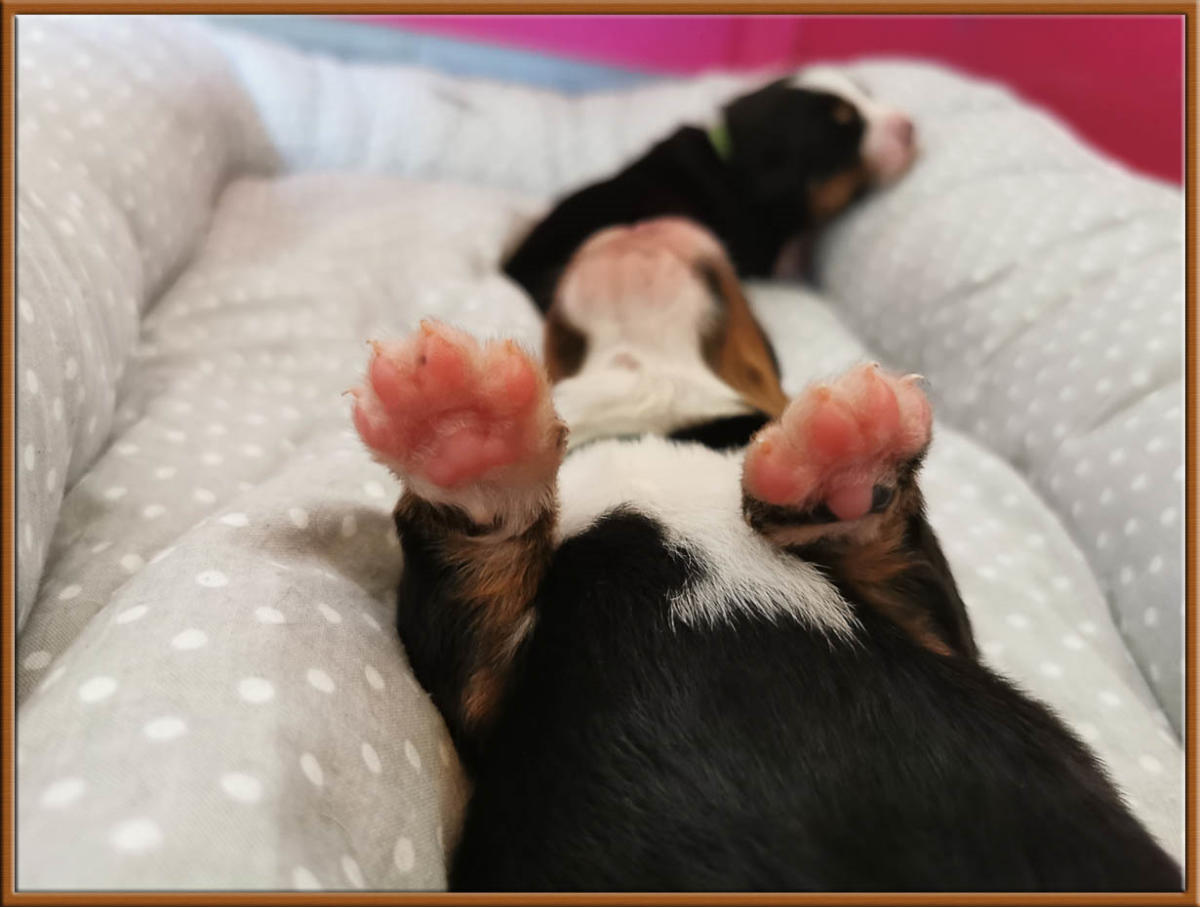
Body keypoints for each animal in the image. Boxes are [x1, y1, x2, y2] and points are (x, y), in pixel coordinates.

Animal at [352, 218, 1180, 891]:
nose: (635, 222)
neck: (653, 411)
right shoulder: (482, 693)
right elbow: (466, 582)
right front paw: (462, 432)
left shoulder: (936, 632)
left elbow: (899, 553)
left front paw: (852, 462)